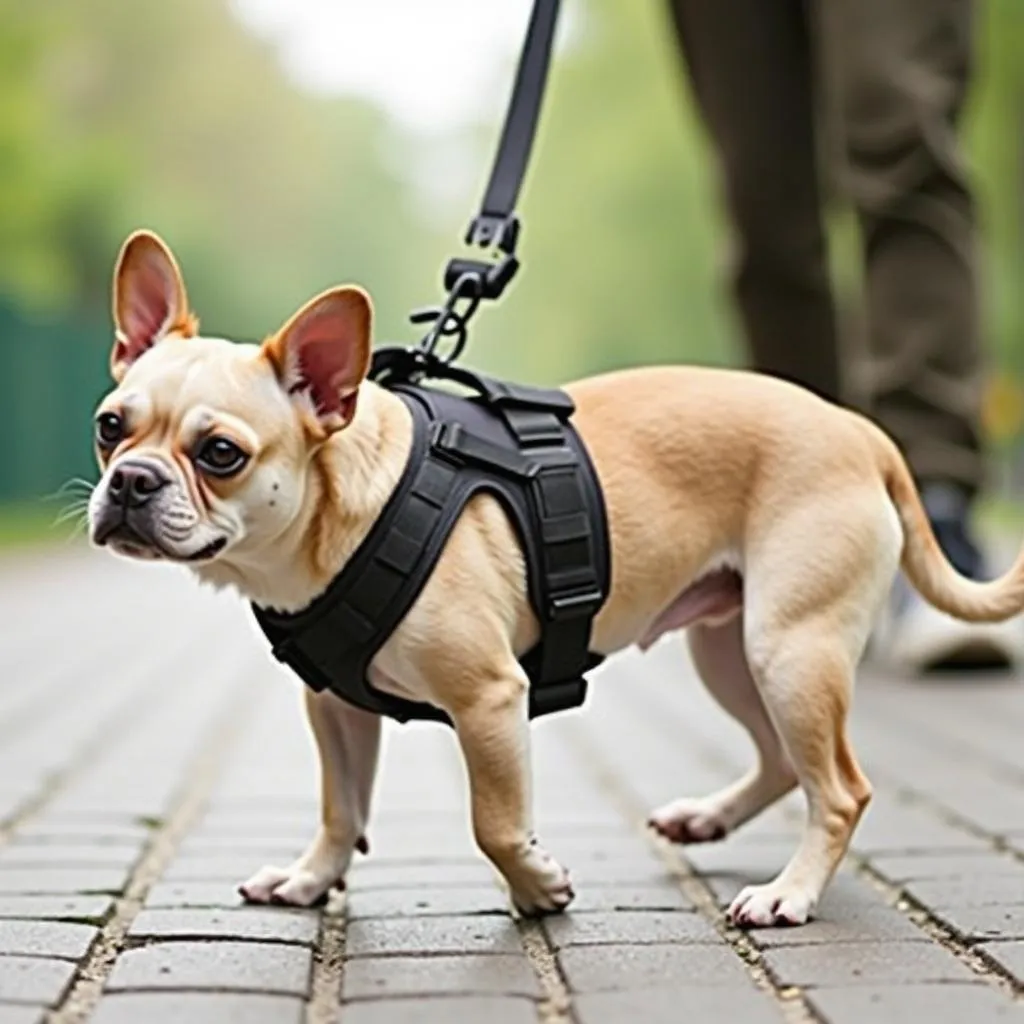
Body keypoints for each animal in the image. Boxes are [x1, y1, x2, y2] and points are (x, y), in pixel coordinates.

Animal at [86, 232, 1024, 929]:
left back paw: (789, 893)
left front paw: (538, 889)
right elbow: (340, 809)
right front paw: (312, 880)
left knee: (839, 788)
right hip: (736, 651)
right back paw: (710, 818)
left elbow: (496, 824)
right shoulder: (336, 708)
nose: (131, 482)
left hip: (790, 648)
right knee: (785, 762)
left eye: (221, 454)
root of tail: (862, 433)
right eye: (109, 427)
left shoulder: (490, 701)